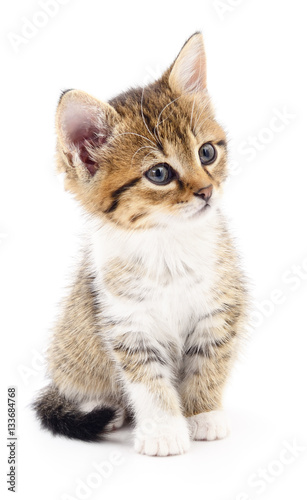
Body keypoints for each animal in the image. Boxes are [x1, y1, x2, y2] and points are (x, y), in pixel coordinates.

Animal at [35, 32, 249, 458]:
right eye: (159, 173)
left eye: (206, 152)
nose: (206, 191)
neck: (167, 242)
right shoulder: (126, 323)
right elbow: (148, 381)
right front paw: (164, 429)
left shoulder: (220, 307)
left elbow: (209, 361)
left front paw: (203, 414)